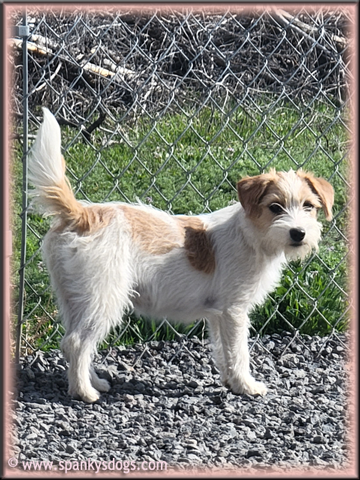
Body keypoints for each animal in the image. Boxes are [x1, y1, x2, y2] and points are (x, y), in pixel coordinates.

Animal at [28, 108, 334, 402]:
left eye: (309, 206)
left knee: (71, 341)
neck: (251, 235)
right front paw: (246, 385)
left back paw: (94, 382)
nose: (298, 233)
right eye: (275, 207)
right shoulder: (234, 311)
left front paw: (230, 381)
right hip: (103, 299)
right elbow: (239, 351)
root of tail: (81, 214)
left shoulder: (219, 315)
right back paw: (83, 392)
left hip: (75, 300)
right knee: (78, 343)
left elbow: (223, 351)